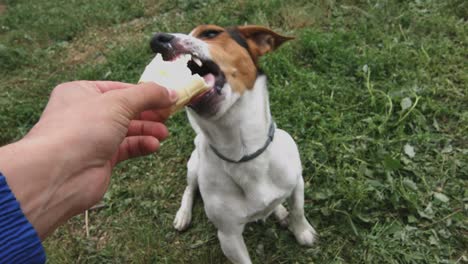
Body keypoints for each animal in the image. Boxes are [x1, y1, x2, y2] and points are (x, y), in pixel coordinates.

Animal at [150, 24, 316, 262]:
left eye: (210, 33)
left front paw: (302, 232)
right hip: (193, 167)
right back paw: (183, 215)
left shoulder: (297, 183)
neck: (244, 152)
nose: (156, 40)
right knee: (190, 189)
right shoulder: (228, 236)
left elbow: (298, 210)